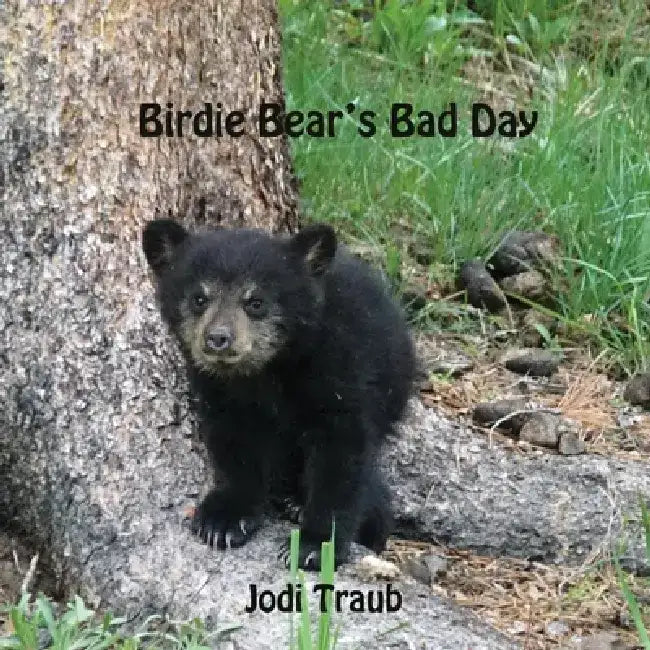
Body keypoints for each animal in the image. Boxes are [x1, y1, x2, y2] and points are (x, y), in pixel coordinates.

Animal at [142, 218, 416, 569]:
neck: (266, 371)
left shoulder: (338, 366)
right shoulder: (218, 388)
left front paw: (315, 544)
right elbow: (232, 441)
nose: (218, 339)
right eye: (199, 298)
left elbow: (342, 450)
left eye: (256, 302)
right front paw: (223, 519)